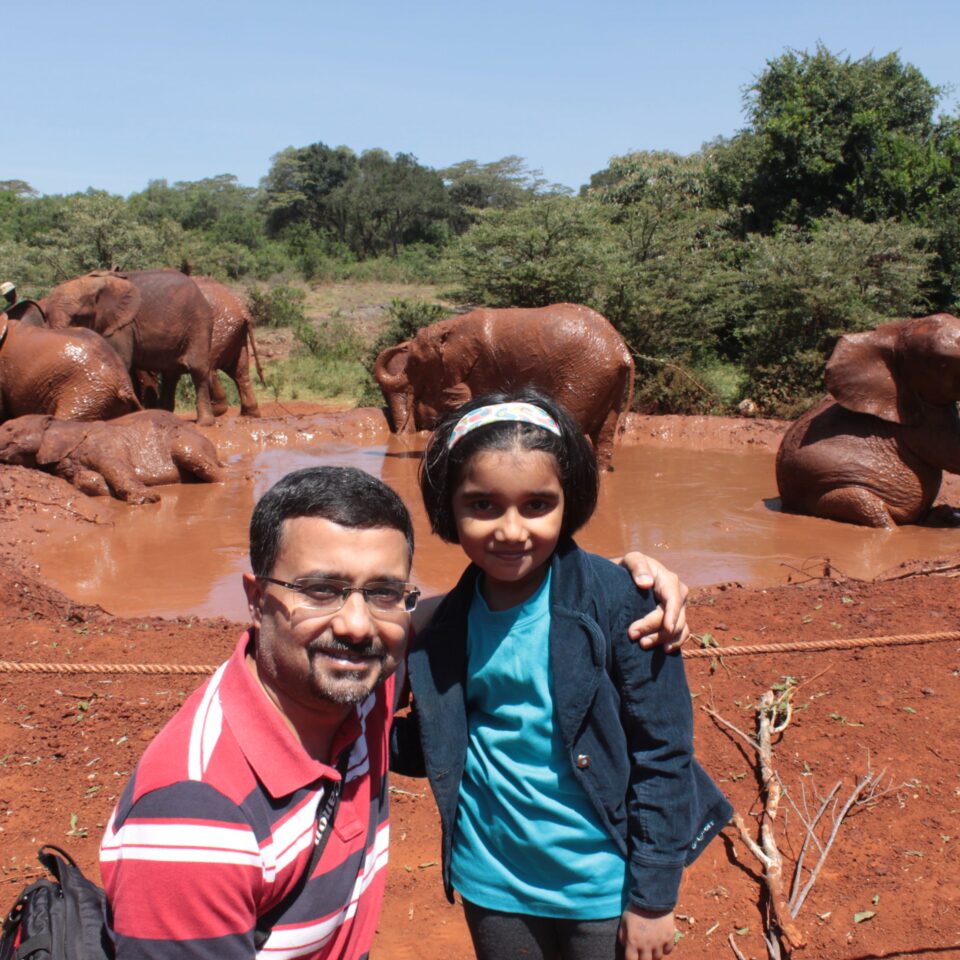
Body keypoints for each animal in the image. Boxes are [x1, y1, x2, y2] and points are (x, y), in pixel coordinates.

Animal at [0, 408, 223, 506]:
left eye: (9, 429)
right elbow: (85, 478)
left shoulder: (103, 443)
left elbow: (114, 466)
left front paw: (146, 500)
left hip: (184, 440)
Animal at [41, 266, 216, 424]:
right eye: (46, 317)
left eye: (79, 317)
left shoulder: (123, 325)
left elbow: (122, 361)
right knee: (170, 375)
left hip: (199, 322)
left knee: (197, 369)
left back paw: (205, 423)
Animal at [372, 298, 632, 466]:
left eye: (415, 362)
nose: (402, 345)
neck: (452, 325)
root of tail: (622, 352)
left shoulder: (485, 365)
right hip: (610, 383)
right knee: (605, 436)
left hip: (585, 376)